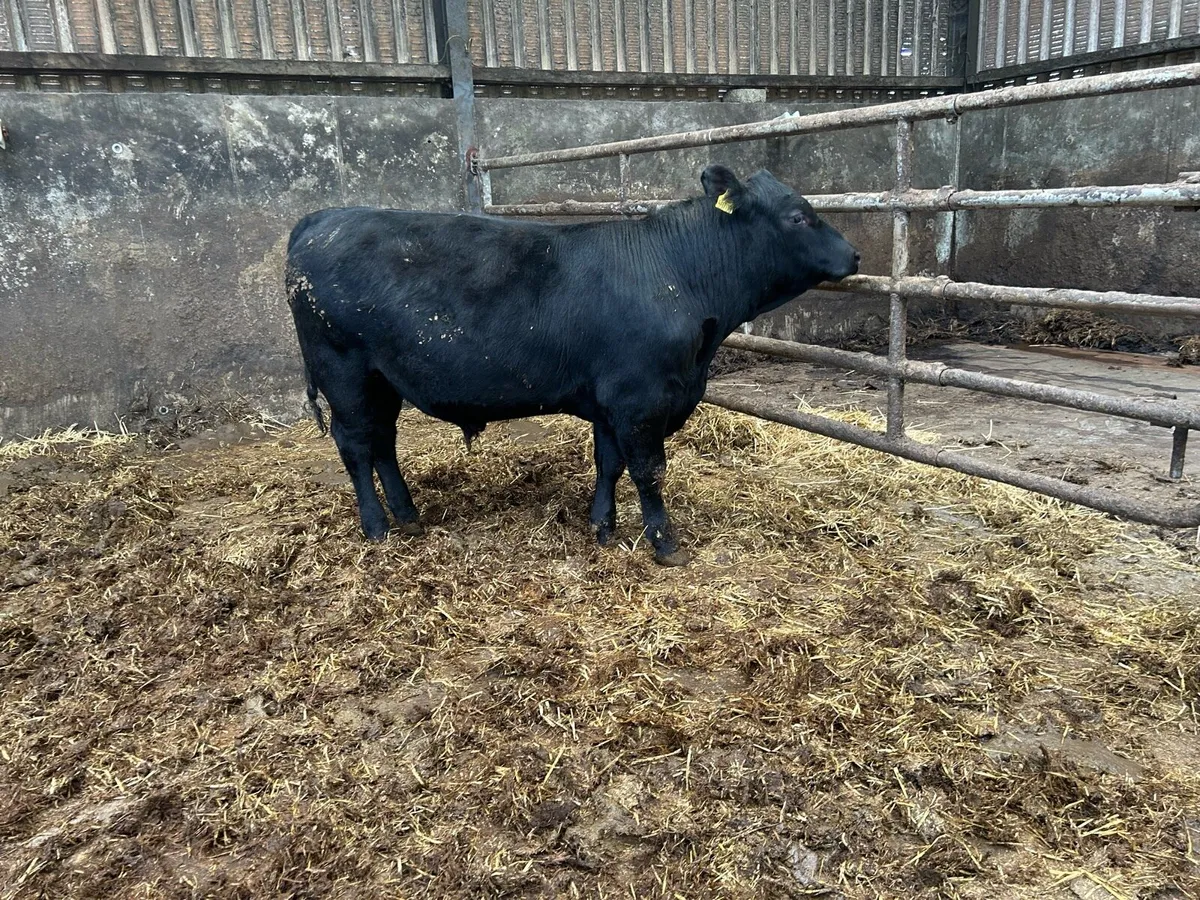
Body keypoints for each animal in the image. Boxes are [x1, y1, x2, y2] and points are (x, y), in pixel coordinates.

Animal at [284, 165, 860, 565]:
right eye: (799, 216)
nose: (854, 256)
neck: (679, 276)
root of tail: (323, 218)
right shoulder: (641, 399)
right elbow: (648, 470)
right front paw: (664, 542)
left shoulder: (612, 402)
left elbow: (609, 464)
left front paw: (602, 527)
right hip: (344, 371)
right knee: (356, 445)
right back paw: (377, 527)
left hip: (383, 380)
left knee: (382, 441)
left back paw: (407, 518)